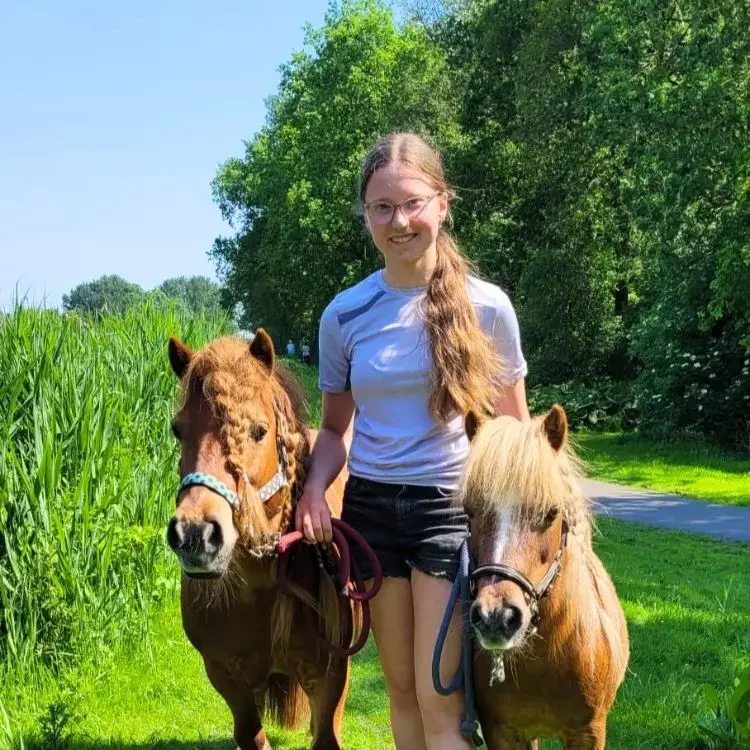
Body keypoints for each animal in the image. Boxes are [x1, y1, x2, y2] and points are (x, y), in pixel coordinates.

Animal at [165, 330, 352, 750]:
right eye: (178, 430)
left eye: (258, 431)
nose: (195, 535)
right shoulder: (227, 678)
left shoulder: (331, 676)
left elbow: (326, 735)